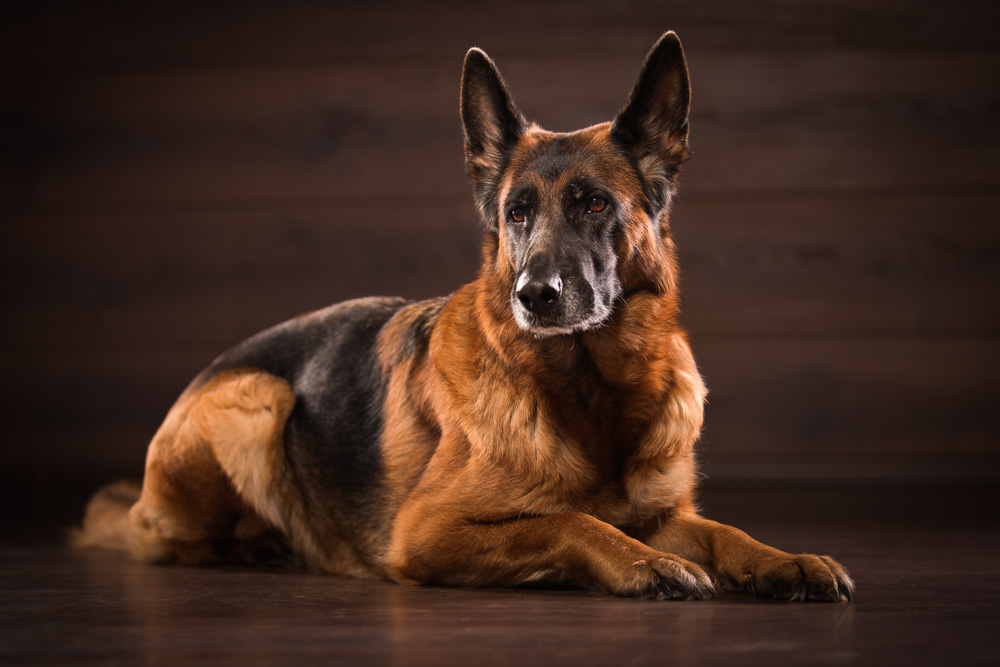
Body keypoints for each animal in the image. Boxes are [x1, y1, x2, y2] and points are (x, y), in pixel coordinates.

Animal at [78, 31, 852, 604]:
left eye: (594, 203)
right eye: (517, 213)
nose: (534, 296)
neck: (592, 394)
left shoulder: (668, 516)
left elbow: (722, 530)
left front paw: (783, 559)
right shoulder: (428, 530)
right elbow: (569, 520)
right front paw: (642, 563)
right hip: (257, 400)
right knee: (178, 540)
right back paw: (271, 545)